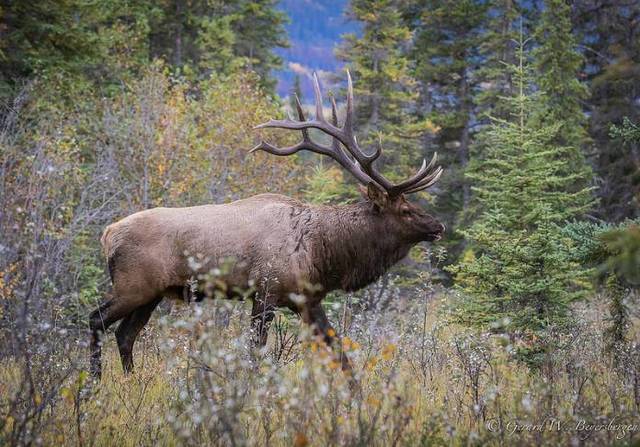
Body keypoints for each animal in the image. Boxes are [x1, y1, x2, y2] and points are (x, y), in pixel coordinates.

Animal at [89, 72, 444, 380]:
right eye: (405, 209)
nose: (438, 225)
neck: (323, 252)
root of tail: (107, 235)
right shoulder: (265, 291)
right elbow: (254, 352)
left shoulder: (307, 299)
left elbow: (338, 351)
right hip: (133, 285)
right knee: (97, 320)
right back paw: (94, 382)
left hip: (152, 293)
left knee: (125, 334)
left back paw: (130, 381)